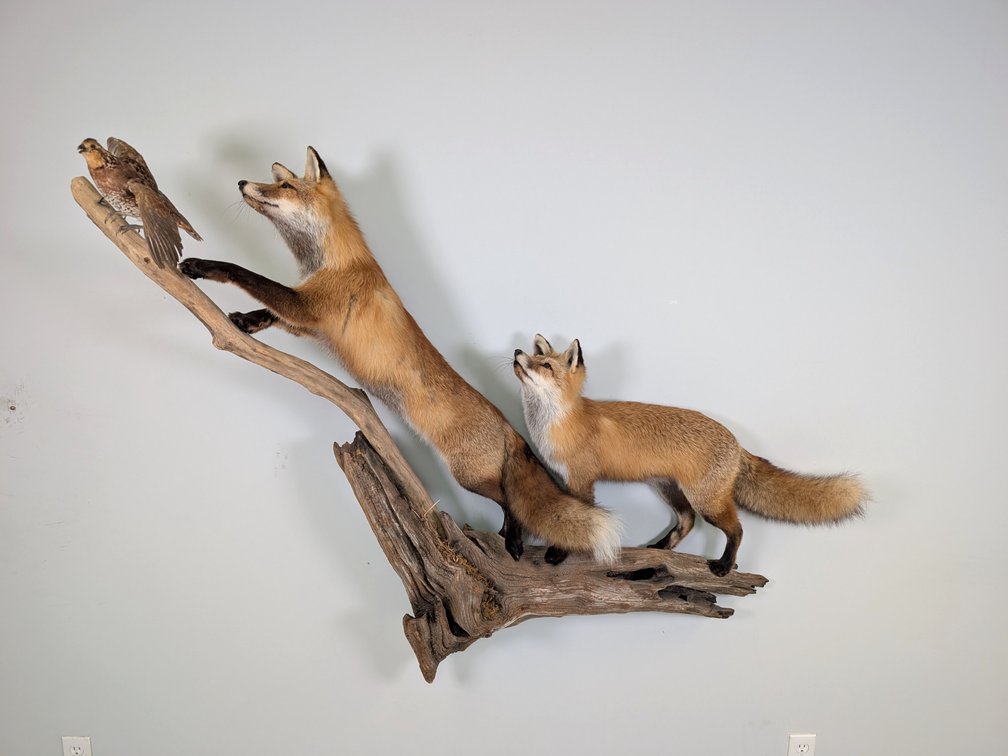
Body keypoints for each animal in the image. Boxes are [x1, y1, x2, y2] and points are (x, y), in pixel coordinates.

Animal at [177, 147, 622, 564]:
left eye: (284, 186)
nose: (240, 182)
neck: (335, 261)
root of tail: (508, 425)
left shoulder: (308, 306)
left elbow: (247, 275)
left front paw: (203, 265)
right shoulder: (308, 320)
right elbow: (268, 312)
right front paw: (243, 322)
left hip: (468, 476)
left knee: (511, 503)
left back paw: (512, 542)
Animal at [513, 335, 867, 576]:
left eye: (545, 366)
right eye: (533, 356)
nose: (516, 352)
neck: (559, 423)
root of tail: (737, 443)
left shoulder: (582, 480)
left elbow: (578, 522)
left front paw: (559, 554)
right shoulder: (569, 478)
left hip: (706, 501)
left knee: (737, 529)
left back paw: (724, 565)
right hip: (670, 490)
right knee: (687, 522)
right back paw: (661, 549)